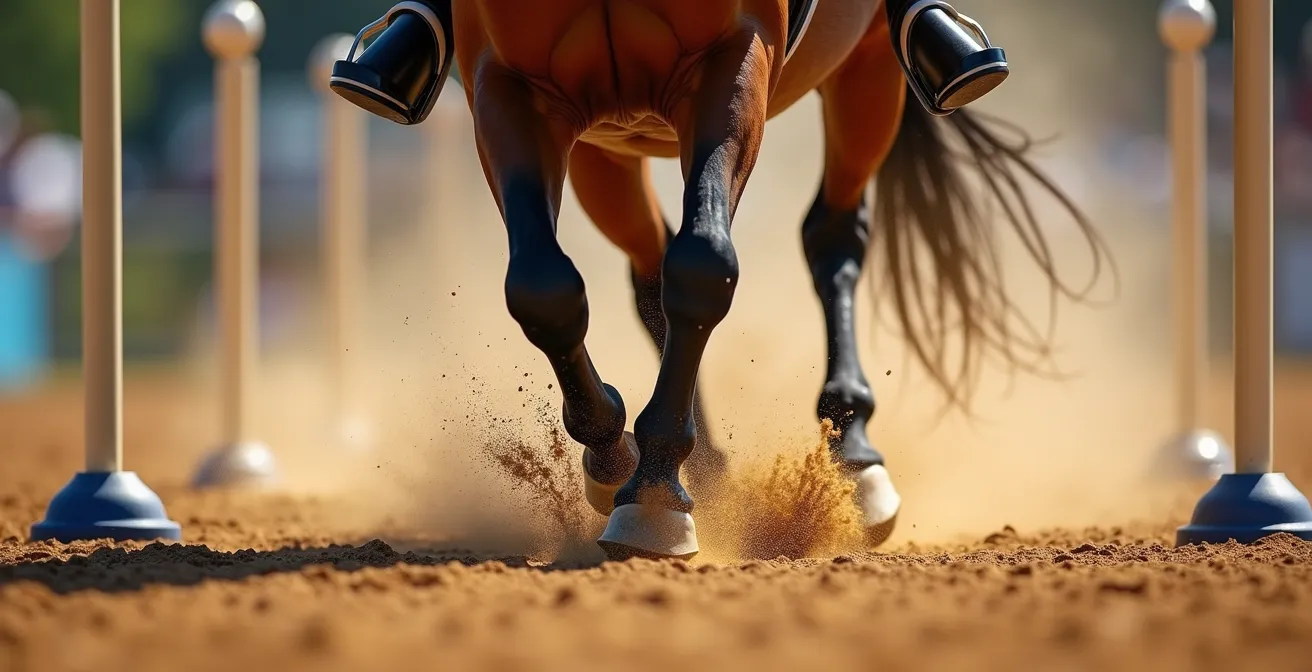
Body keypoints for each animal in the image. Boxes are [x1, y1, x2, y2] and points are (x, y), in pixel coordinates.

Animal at [329, 0, 1111, 560]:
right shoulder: (511, 87)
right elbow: (544, 289)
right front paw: (618, 453)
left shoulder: (734, 62)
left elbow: (704, 263)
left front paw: (652, 493)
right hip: (610, 146)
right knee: (647, 276)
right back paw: (693, 464)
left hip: (865, 70)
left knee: (832, 235)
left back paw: (850, 454)